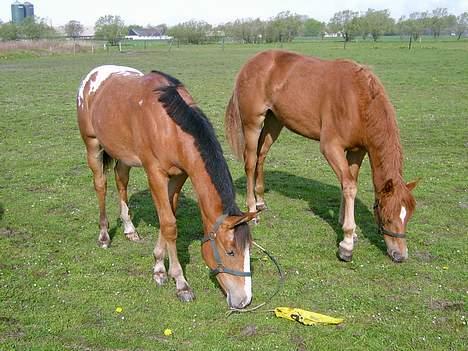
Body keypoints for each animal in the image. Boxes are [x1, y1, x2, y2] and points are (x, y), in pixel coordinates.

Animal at [78, 65, 258, 308]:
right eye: (230, 252)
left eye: (249, 251)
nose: (244, 300)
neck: (169, 125)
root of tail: (94, 75)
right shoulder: (155, 174)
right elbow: (170, 225)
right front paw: (181, 283)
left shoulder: (179, 176)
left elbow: (168, 218)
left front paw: (158, 268)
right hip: (92, 145)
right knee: (101, 186)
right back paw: (104, 235)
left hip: (124, 156)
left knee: (121, 181)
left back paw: (129, 229)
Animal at [225, 50, 418, 264]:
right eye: (387, 217)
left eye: (408, 216)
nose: (400, 255)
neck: (358, 100)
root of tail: (250, 64)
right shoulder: (330, 147)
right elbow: (349, 187)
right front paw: (347, 243)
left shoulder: (357, 150)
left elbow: (348, 183)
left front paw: (347, 227)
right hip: (253, 123)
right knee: (250, 162)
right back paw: (252, 210)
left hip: (273, 122)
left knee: (261, 156)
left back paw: (260, 202)